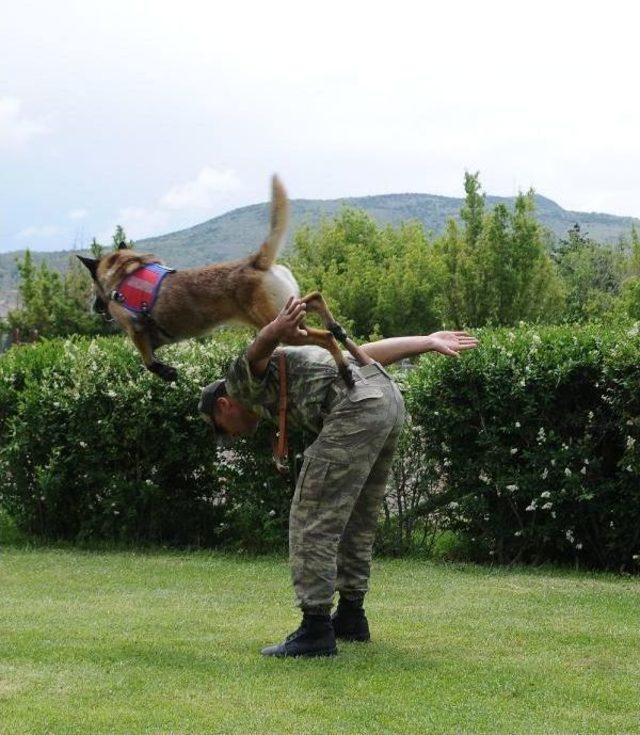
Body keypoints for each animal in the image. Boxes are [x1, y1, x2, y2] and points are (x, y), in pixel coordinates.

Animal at [79, 177, 356, 386]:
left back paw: (344, 370)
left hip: (283, 328)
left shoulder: (135, 331)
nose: (94, 307)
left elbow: (147, 360)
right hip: (288, 312)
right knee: (316, 299)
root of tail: (254, 261)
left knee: (324, 338)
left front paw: (166, 371)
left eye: (92, 288)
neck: (125, 270)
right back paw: (336, 327)